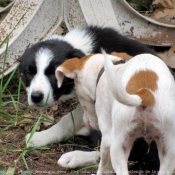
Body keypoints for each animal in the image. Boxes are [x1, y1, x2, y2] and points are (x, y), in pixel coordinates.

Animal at [19, 25, 163, 171]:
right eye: (28, 73)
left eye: (54, 73)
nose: (36, 97)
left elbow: (68, 120)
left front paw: (41, 136)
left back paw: (74, 157)